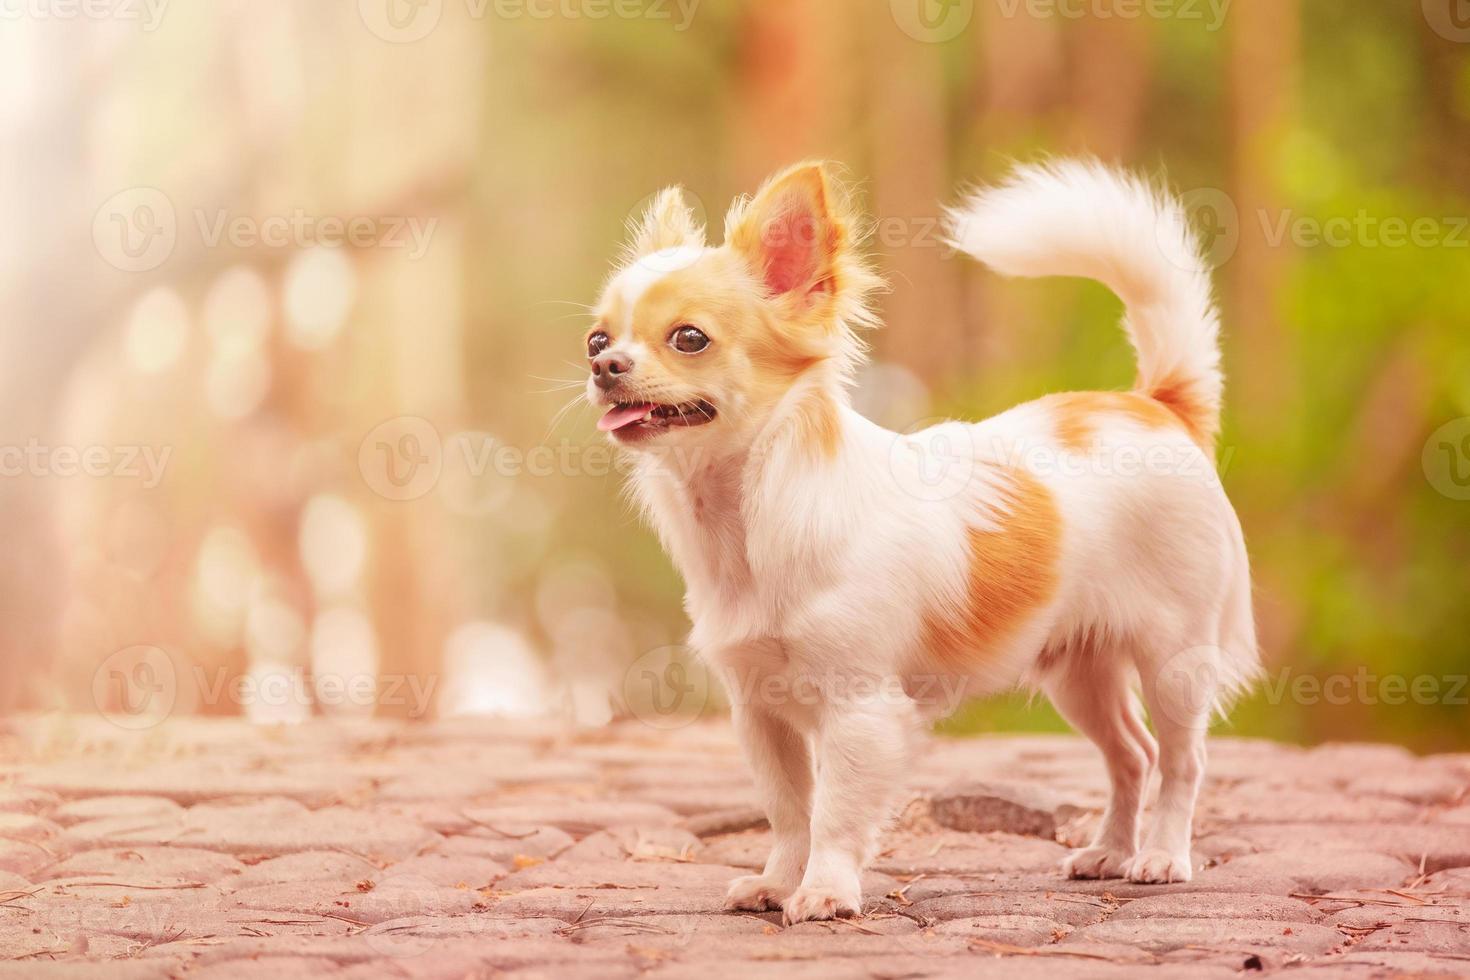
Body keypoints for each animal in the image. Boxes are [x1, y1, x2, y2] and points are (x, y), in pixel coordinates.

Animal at [585, 157, 1264, 922]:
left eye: (689, 338)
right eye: (596, 340)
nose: (604, 367)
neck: (748, 518)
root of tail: (1154, 404)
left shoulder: (860, 709)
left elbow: (834, 812)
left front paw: (824, 891)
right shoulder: (759, 710)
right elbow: (789, 810)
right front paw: (778, 881)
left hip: (1174, 658)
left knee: (1181, 759)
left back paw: (1161, 856)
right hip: (1079, 670)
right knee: (1132, 754)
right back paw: (1110, 852)